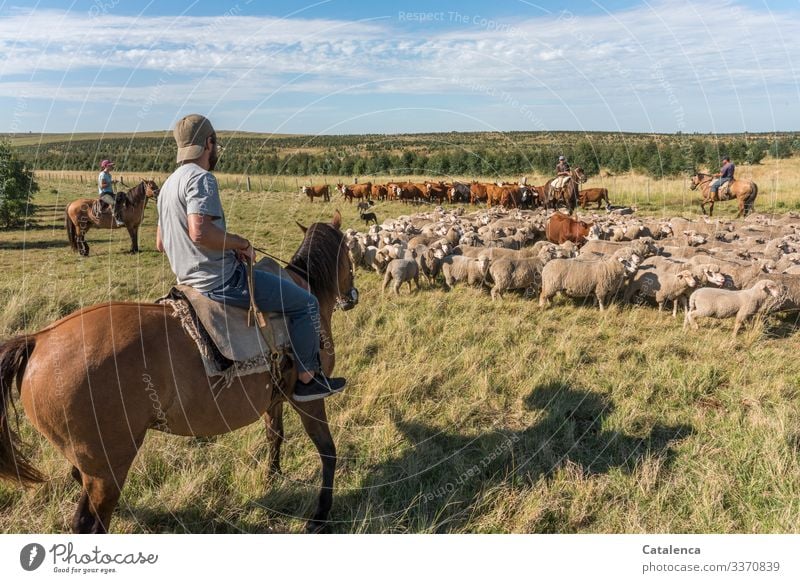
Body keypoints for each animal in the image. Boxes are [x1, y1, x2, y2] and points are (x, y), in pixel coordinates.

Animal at [0, 211, 358, 532]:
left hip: (89, 462)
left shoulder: (275, 399)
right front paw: (320, 515)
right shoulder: (308, 398)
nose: (352, 296)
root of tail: (39, 339)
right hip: (107, 468)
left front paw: (273, 476)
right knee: (89, 521)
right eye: (350, 253)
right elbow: (327, 451)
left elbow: (275, 436)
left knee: (79, 480)